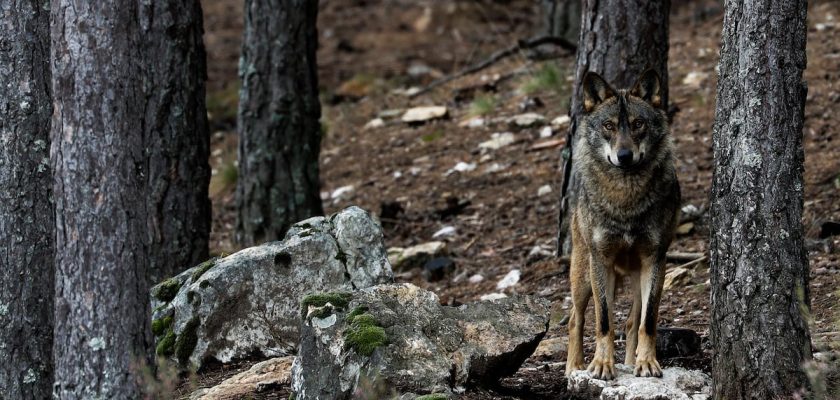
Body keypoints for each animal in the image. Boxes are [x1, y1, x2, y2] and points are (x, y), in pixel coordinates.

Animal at [560, 70, 680, 380]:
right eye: (609, 126)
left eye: (638, 124)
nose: (624, 156)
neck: (626, 199)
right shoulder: (600, 260)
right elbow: (603, 322)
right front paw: (602, 365)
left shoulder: (655, 260)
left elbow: (647, 322)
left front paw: (647, 363)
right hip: (584, 276)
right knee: (576, 319)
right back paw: (573, 367)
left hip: (636, 279)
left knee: (631, 323)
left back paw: (630, 360)